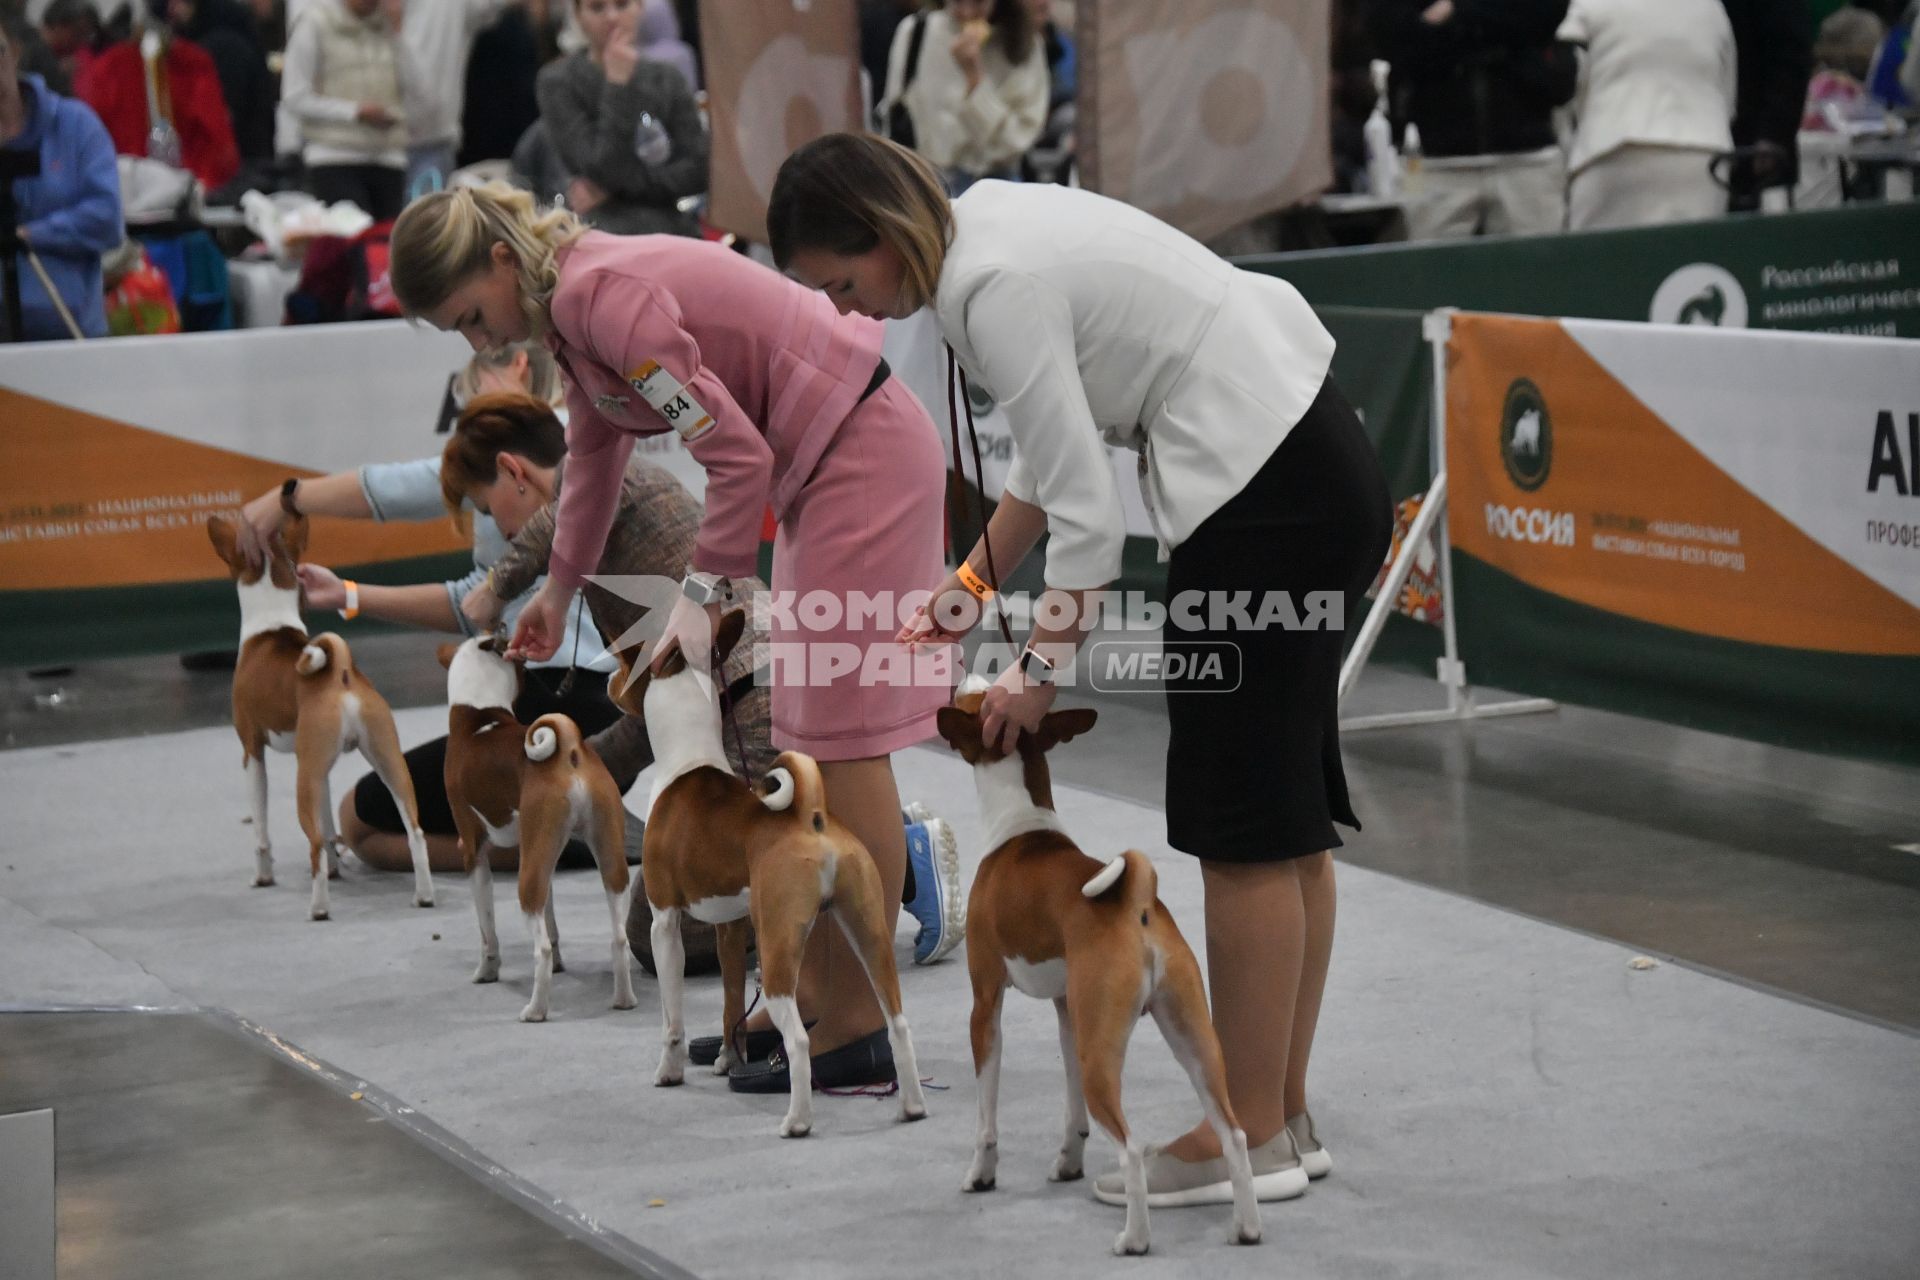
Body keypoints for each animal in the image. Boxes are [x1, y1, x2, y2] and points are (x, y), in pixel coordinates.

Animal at [210, 514, 435, 924]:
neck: (271, 623)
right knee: (415, 831)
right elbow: (330, 826)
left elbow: (262, 832)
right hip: (384, 762)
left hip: (306, 775)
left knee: (313, 841)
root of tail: (341, 674)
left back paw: (318, 908)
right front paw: (334, 869)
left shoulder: (252, 751)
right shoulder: (324, 770)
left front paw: (262, 877)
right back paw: (423, 896)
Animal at [439, 637, 637, 1028]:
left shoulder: (474, 851)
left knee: (540, 948)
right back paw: (623, 1000)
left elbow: (488, 931)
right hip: (603, 860)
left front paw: (487, 971)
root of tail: (568, 751)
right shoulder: (537, 852)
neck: (478, 717)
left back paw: (535, 1010)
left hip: (527, 877)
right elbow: (552, 920)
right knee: (619, 938)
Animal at [602, 614, 925, 1143]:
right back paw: (912, 1107)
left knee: (798, 1042)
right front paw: (726, 1058)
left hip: (777, 946)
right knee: (897, 1021)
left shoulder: (664, 922)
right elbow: (732, 1002)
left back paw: (797, 1120)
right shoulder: (730, 928)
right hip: (868, 932)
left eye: (629, 659)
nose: (609, 678)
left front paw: (669, 1071)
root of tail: (810, 816)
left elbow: (673, 1019)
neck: (687, 759)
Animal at [933, 687, 1259, 1258]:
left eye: (971, 699)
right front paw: (1068, 1161)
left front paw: (981, 1174)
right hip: (1188, 1040)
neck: (1020, 823)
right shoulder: (1069, 1011)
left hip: (1102, 1055)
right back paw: (1245, 1227)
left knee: (1130, 1149)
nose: (950, 690)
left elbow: (986, 1117)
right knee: (1233, 1134)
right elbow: (1071, 1110)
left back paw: (1135, 1238)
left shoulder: (985, 1005)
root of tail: (1136, 904)